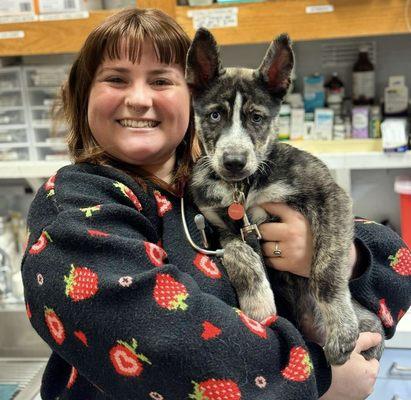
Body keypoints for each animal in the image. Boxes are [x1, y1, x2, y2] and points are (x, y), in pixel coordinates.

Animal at [187, 28, 386, 366]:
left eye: (257, 118)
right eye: (214, 115)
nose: (234, 162)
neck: (245, 187)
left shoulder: (331, 196)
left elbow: (326, 271)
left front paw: (342, 329)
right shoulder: (223, 226)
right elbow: (240, 253)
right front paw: (258, 305)